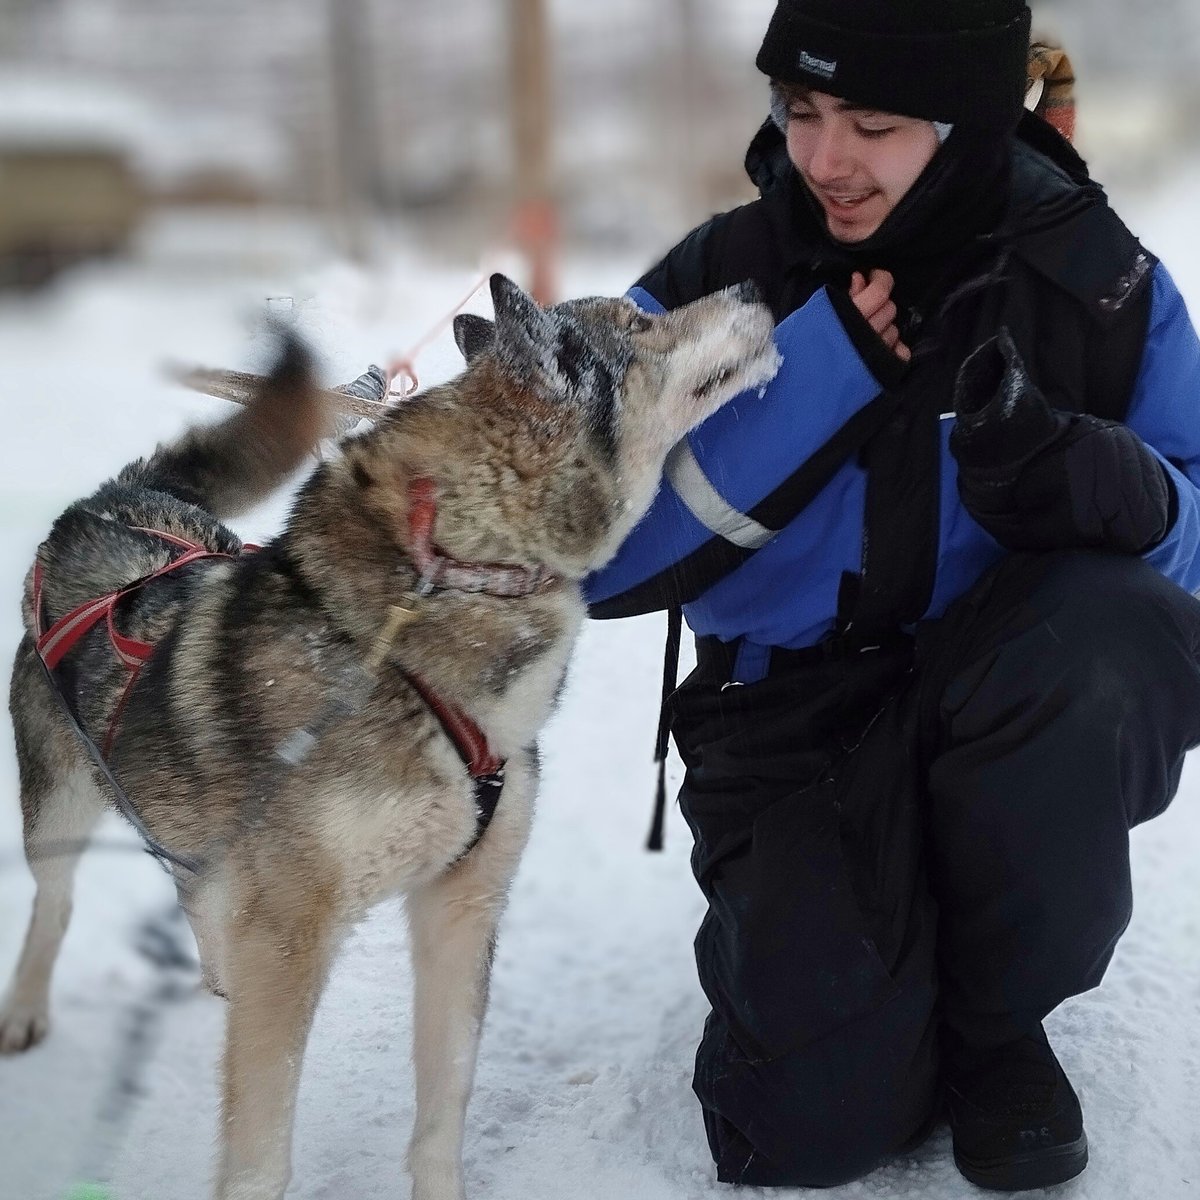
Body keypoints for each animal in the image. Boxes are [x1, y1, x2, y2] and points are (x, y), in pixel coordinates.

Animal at [0, 274, 777, 1200]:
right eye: (640, 322)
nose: (753, 285)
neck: (440, 587)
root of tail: (109, 504)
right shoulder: (289, 936)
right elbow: (261, 1155)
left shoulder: (461, 904)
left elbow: (444, 1105)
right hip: (58, 809)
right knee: (55, 904)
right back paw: (25, 1012)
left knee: (192, 891)